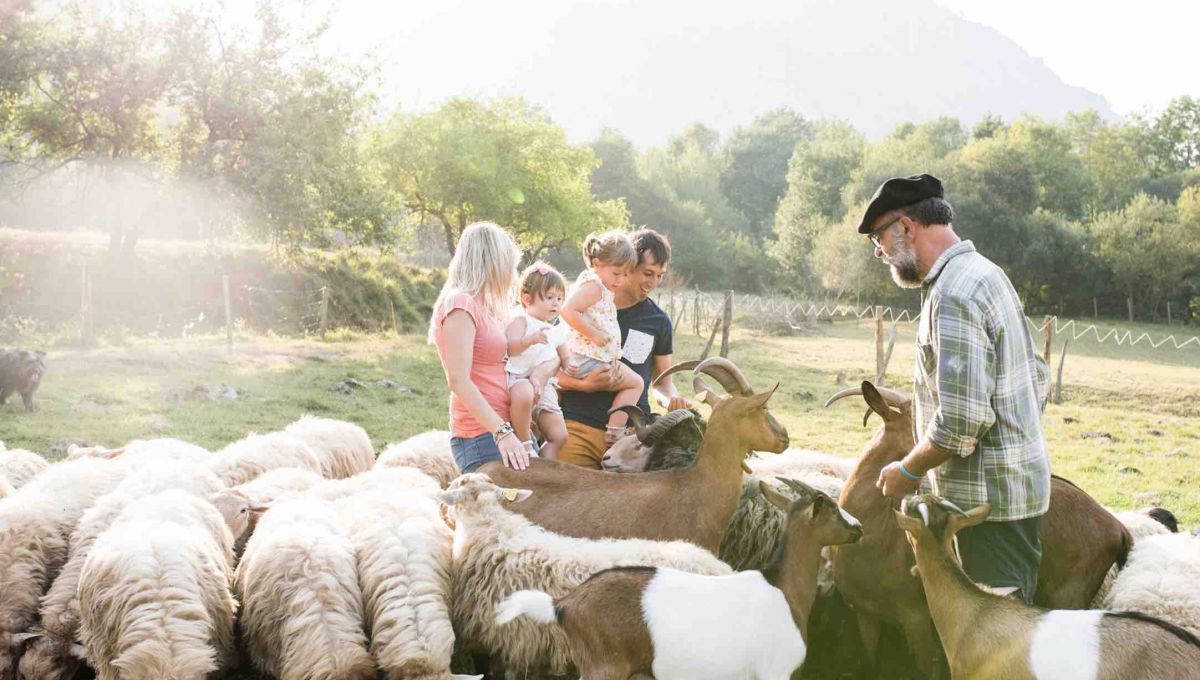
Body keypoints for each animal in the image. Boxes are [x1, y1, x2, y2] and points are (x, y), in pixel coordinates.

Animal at [830, 383, 1128, 676]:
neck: (874, 538)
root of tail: (1118, 527)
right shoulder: (866, 614)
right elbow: (869, 662)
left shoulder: (917, 618)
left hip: (1068, 596)